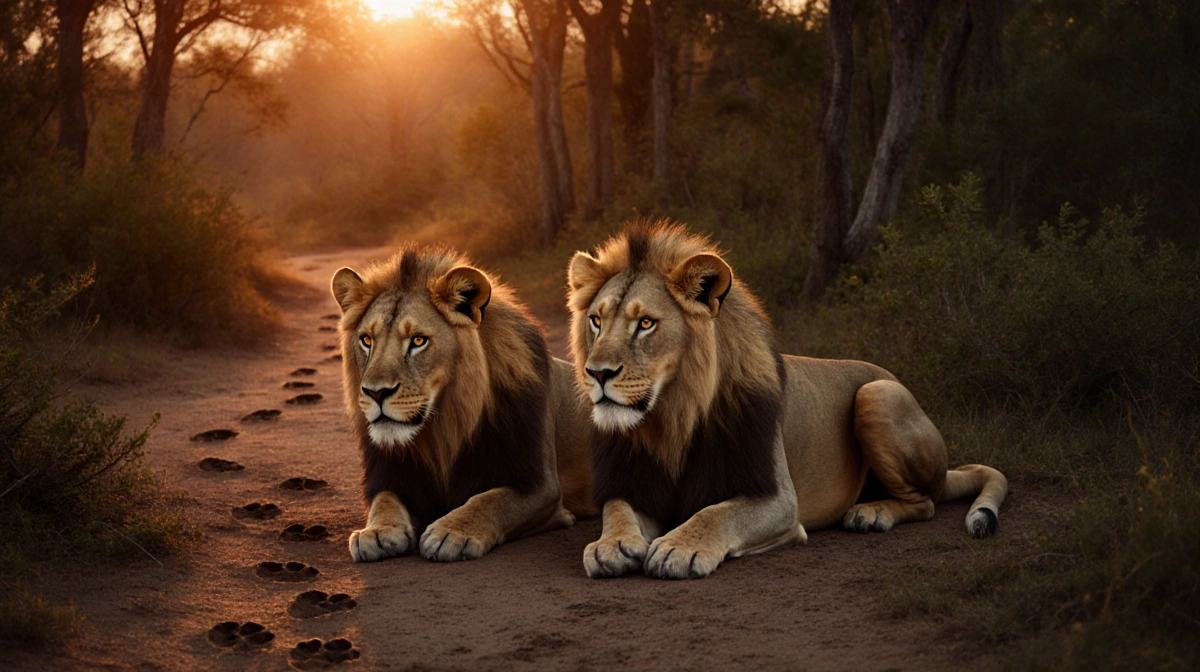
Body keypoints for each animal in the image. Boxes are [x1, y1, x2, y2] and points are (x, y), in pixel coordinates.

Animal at [331, 245, 594, 563]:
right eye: (366, 340)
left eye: (418, 341)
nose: (375, 393)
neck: (444, 426)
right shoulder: (390, 477)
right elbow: (385, 501)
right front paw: (377, 531)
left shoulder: (540, 486)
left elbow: (491, 500)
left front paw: (451, 533)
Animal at [566, 222, 1008, 579]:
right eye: (596, 321)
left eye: (645, 323)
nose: (597, 373)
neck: (673, 416)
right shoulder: (636, 485)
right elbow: (617, 509)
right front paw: (610, 544)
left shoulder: (778, 500)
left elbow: (717, 513)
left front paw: (680, 546)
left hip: (876, 394)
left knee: (926, 503)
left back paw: (872, 512)